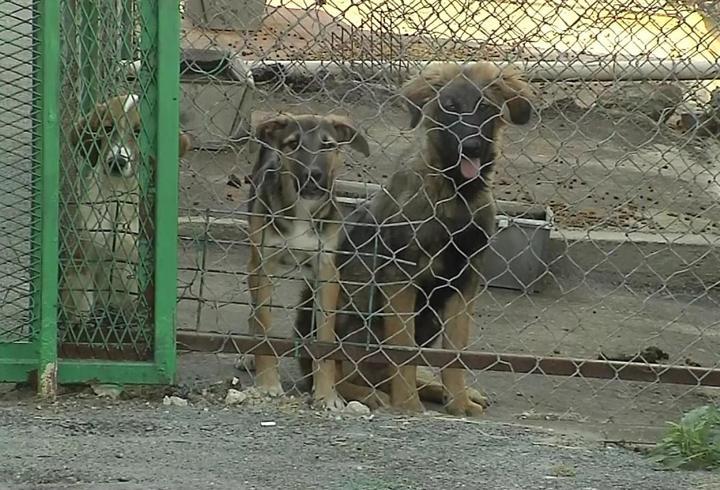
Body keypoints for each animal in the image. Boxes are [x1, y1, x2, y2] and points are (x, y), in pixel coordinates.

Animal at [62, 94, 191, 334]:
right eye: (107, 128)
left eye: (139, 132)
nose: (117, 161)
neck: (117, 196)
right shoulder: (84, 259)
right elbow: (80, 304)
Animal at [248, 113, 372, 408]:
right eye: (293, 144)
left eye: (328, 146)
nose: (313, 175)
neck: (303, 211)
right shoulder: (264, 268)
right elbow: (264, 323)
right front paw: (268, 383)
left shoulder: (326, 273)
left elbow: (324, 339)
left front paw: (327, 394)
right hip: (252, 265)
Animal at [292, 60, 536, 414]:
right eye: (450, 107)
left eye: (485, 107)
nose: (472, 148)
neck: (455, 193)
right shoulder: (400, 279)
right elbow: (402, 350)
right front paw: (407, 405)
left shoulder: (463, 282)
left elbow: (454, 354)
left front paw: (459, 402)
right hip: (340, 311)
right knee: (337, 371)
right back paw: (371, 395)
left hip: (429, 317)